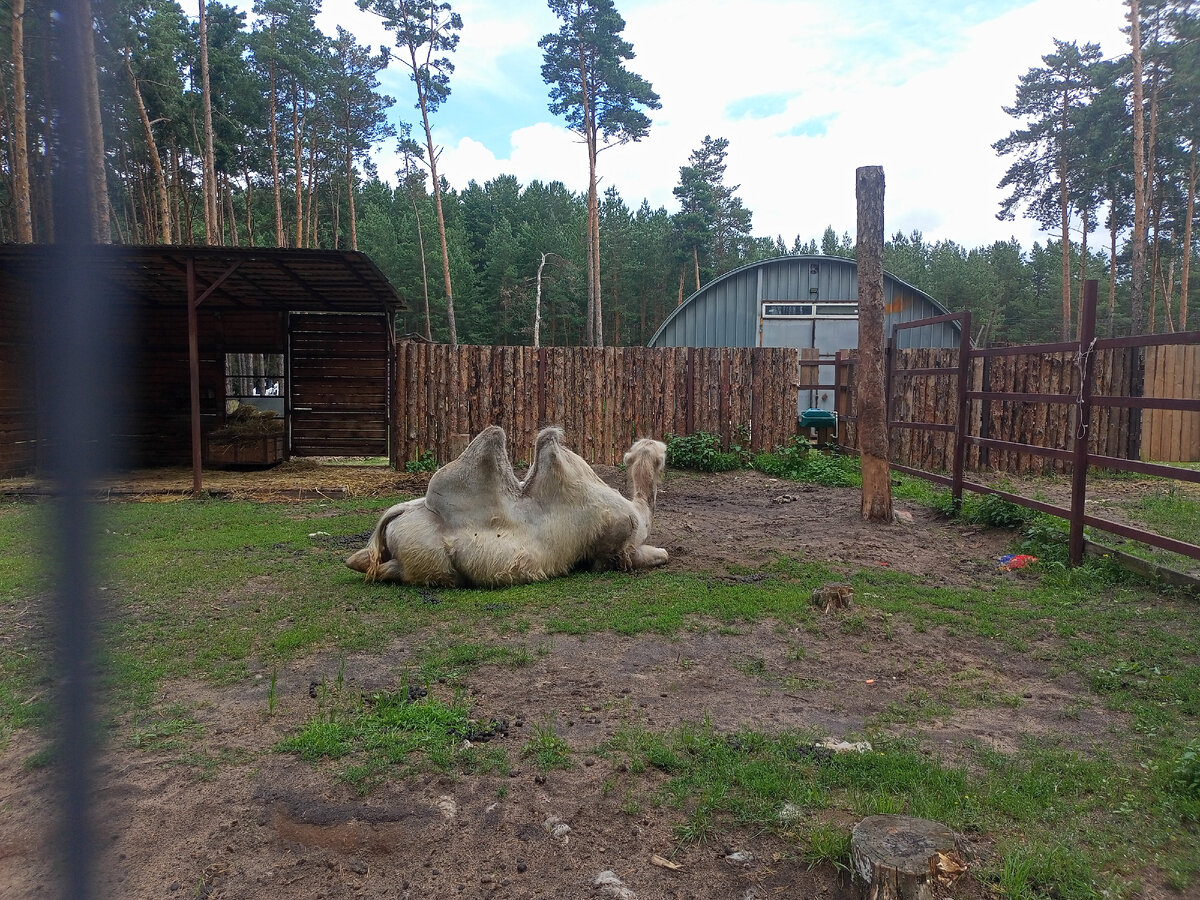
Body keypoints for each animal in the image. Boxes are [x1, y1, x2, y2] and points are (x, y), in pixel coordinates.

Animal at [343, 424, 672, 588]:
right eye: (662, 457)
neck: (638, 513)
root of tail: (402, 512)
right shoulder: (615, 550)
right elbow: (658, 555)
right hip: (430, 560)